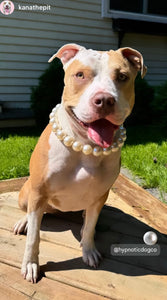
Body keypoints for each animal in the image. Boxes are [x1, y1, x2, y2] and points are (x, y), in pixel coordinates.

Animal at [13, 43, 147, 282]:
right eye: (80, 75)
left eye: (122, 76)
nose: (104, 100)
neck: (86, 147)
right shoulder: (39, 192)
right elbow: (34, 237)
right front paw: (30, 264)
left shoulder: (99, 195)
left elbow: (90, 228)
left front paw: (89, 249)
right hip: (27, 194)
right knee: (30, 213)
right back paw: (24, 222)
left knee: (87, 219)